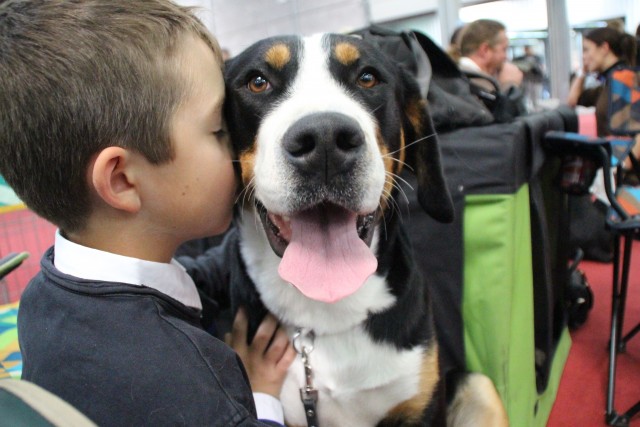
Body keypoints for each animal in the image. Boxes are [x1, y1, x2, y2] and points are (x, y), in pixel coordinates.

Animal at [222, 34, 508, 427]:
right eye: (257, 82)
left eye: (368, 78)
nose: (325, 139)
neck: (328, 312)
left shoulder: (419, 407)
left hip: (478, 386)